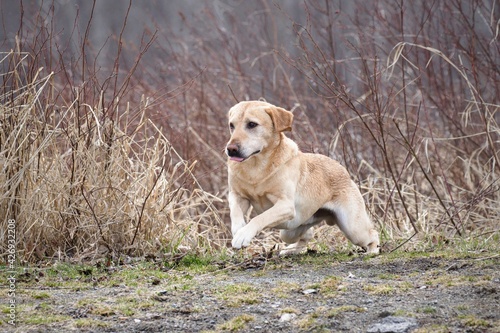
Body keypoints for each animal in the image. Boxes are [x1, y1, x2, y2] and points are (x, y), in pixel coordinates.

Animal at [226, 100, 378, 253]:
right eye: (231, 125)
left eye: (252, 124)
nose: (231, 149)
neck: (257, 168)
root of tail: (342, 169)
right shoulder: (236, 195)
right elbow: (235, 210)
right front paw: (238, 228)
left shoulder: (285, 205)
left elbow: (260, 218)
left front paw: (244, 234)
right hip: (289, 230)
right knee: (307, 234)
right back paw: (289, 250)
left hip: (354, 229)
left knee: (373, 234)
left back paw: (372, 251)